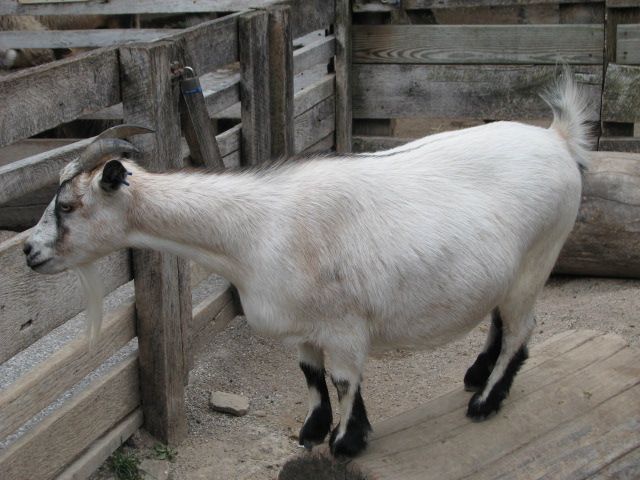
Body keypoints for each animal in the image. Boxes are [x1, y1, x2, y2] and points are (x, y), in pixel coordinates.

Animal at [25, 71, 592, 458]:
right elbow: (312, 378)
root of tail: (557, 137)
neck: (255, 230)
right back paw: (476, 376)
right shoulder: (301, 328)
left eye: (68, 205)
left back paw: (486, 402)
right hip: (506, 271)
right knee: (498, 320)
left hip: (538, 259)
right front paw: (315, 432)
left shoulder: (344, 327)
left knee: (522, 330)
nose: (29, 252)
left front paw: (346, 443)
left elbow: (343, 381)